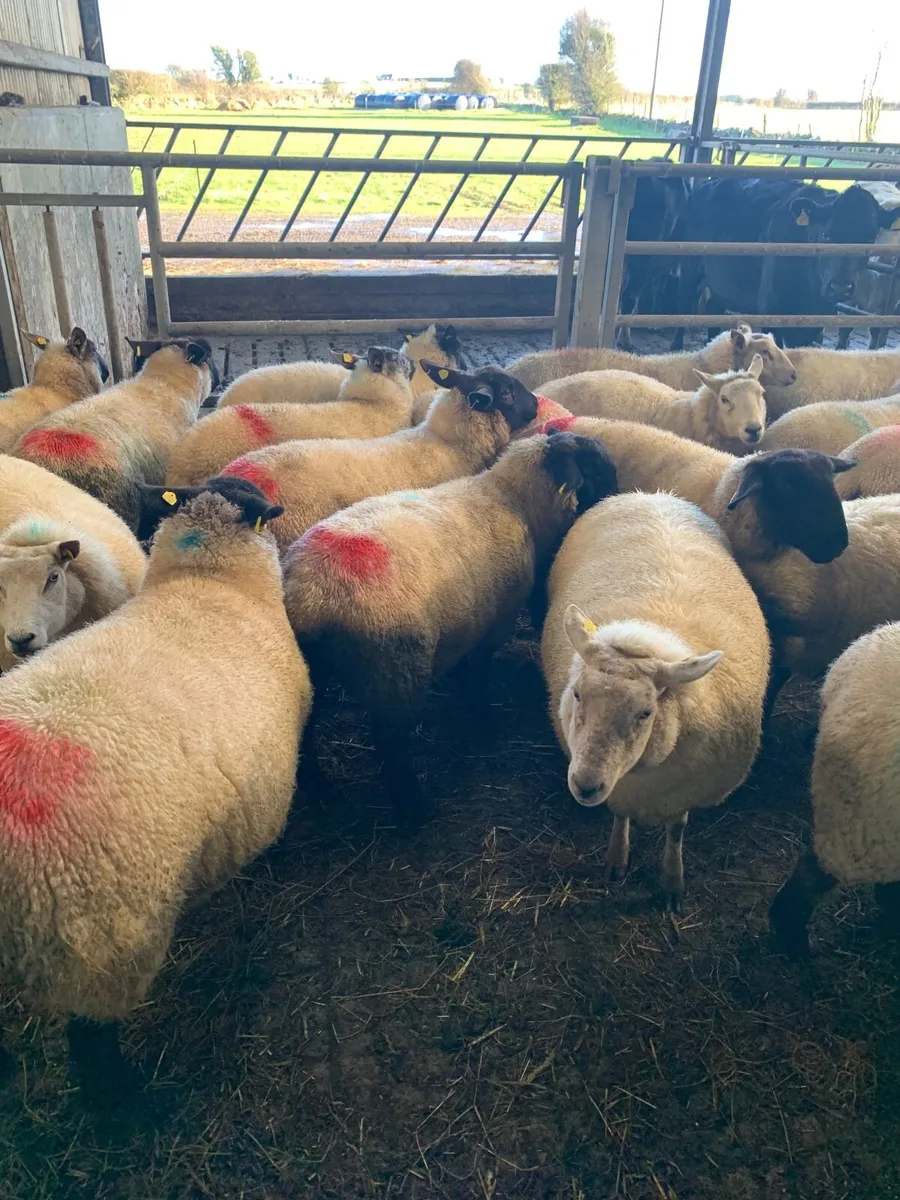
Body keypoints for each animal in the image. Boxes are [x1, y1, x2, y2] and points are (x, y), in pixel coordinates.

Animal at [281, 432, 618, 823]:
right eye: (597, 468)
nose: (617, 497)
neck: (513, 500)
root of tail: (311, 596)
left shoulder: (469, 620)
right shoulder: (496, 620)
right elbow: (479, 670)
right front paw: (481, 714)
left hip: (313, 669)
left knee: (306, 726)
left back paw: (320, 787)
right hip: (395, 669)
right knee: (390, 741)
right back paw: (413, 809)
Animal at [541, 491, 769, 909]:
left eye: (646, 712)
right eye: (577, 693)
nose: (585, 786)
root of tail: (654, 495)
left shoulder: (682, 791)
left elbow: (676, 831)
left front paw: (671, 882)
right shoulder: (623, 790)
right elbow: (619, 817)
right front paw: (617, 860)